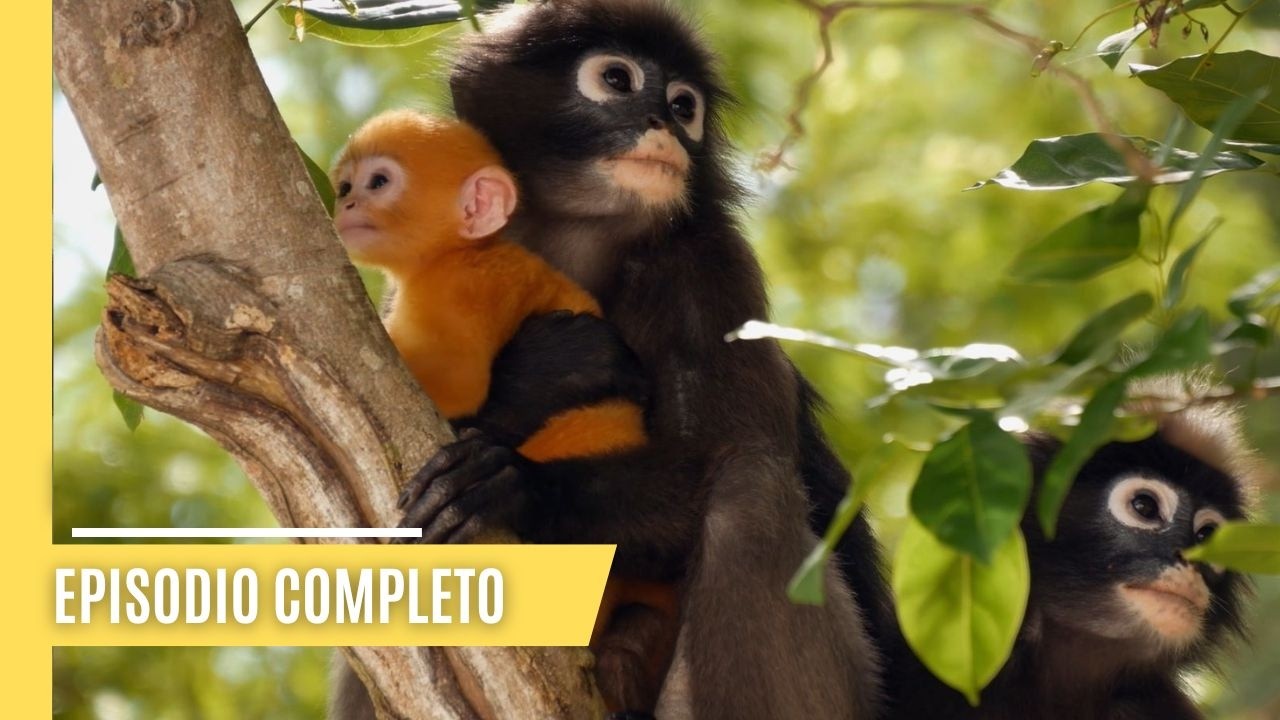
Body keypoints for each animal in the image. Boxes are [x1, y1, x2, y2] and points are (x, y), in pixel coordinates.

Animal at [384, 2, 890, 718]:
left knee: (751, 490)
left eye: (684, 106)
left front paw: (510, 484)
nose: (663, 124)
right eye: (617, 80)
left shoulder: (711, 270)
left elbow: (712, 468)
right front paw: (548, 370)